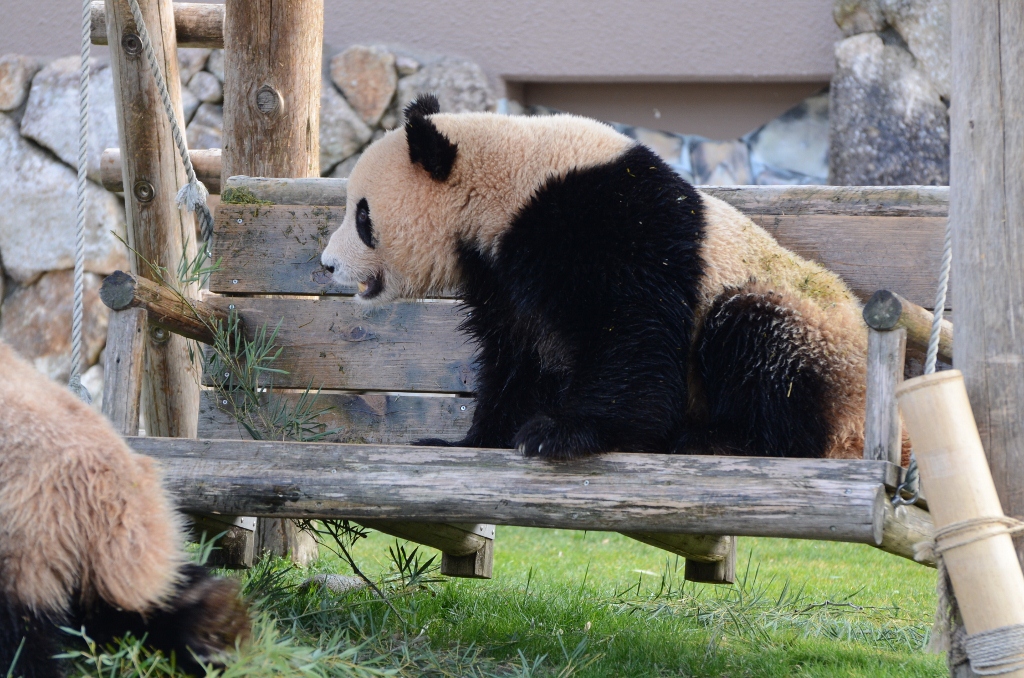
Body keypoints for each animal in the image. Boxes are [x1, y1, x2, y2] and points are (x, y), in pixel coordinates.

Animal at [319, 95, 864, 462]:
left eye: (361, 216)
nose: (327, 264)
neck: (507, 188)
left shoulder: (608, 220)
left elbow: (631, 331)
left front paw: (559, 434)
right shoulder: (504, 274)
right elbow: (518, 356)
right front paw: (474, 440)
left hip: (816, 339)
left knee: (758, 339)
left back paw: (720, 439)